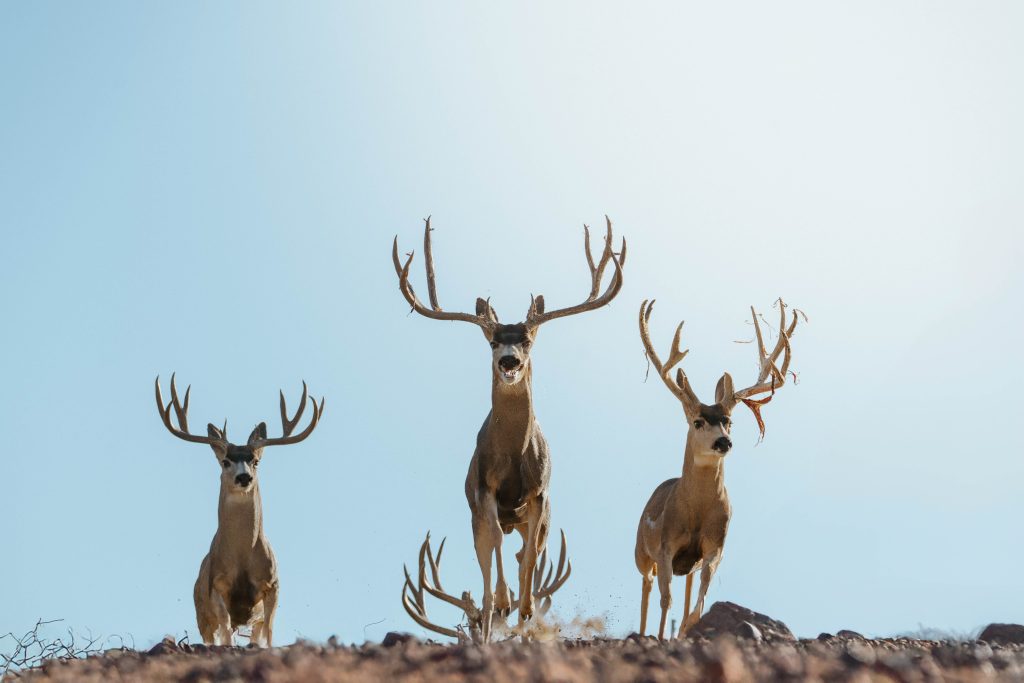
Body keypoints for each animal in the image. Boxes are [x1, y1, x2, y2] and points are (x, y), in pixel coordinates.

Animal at [154, 374, 324, 647]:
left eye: (256, 461)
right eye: (225, 461)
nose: (244, 477)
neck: (243, 558)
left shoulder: (273, 586)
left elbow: (270, 631)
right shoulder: (216, 586)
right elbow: (225, 627)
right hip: (201, 615)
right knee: (214, 636)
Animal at [634, 298, 800, 640]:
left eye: (729, 421)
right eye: (698, 421)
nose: (724, 441)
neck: (695, 512)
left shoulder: (714, 548)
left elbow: (698, 602)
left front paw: (686, 629)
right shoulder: (666, 546)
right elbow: (665, 599)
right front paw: (661, 635)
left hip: (687, 564)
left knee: (686, 589)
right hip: (641, 552)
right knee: (647, 587)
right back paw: (644, 631)